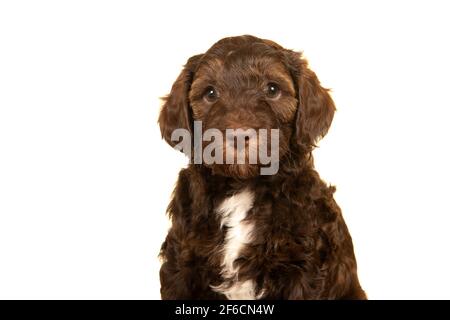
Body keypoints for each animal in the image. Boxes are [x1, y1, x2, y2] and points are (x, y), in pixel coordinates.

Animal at [158, 35, 366, 300]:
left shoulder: (303, 267)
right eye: (210, 93)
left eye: (272, 89)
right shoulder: (181, 264)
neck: (242, 185)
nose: (238, 135)